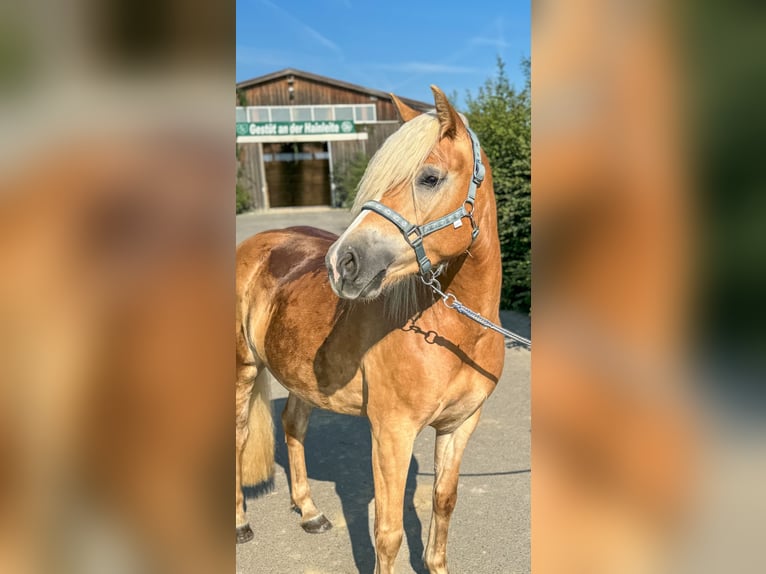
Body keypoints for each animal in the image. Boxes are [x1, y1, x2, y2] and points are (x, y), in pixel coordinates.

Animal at [237, 86, 508, 574]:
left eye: (430, 178)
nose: (342, 263)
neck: (453, 333)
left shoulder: (459, 426)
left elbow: (443, 504)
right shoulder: (391, 433)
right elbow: (389, 531)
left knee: (293, 426)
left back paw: (310, 512)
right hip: (242, 369)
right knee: (239, 435)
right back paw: (240, 524)